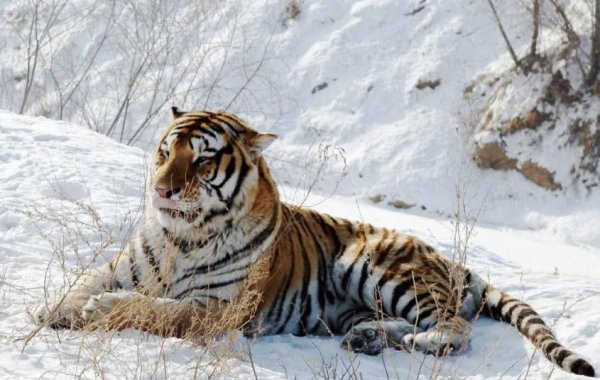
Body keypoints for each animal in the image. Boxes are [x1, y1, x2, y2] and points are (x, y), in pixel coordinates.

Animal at [34, 107, 596, 378]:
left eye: (202, 159)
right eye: (165, 151)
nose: (163, 190)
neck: (182, 237)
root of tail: (448, 259)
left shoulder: (218, 308)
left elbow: (155, 310)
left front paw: (100, 310)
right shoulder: (124, 267)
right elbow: (84, 284)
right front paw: (52, 312)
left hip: (378, 267)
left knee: (456, 327)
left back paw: (419, 343)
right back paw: (368, 339)